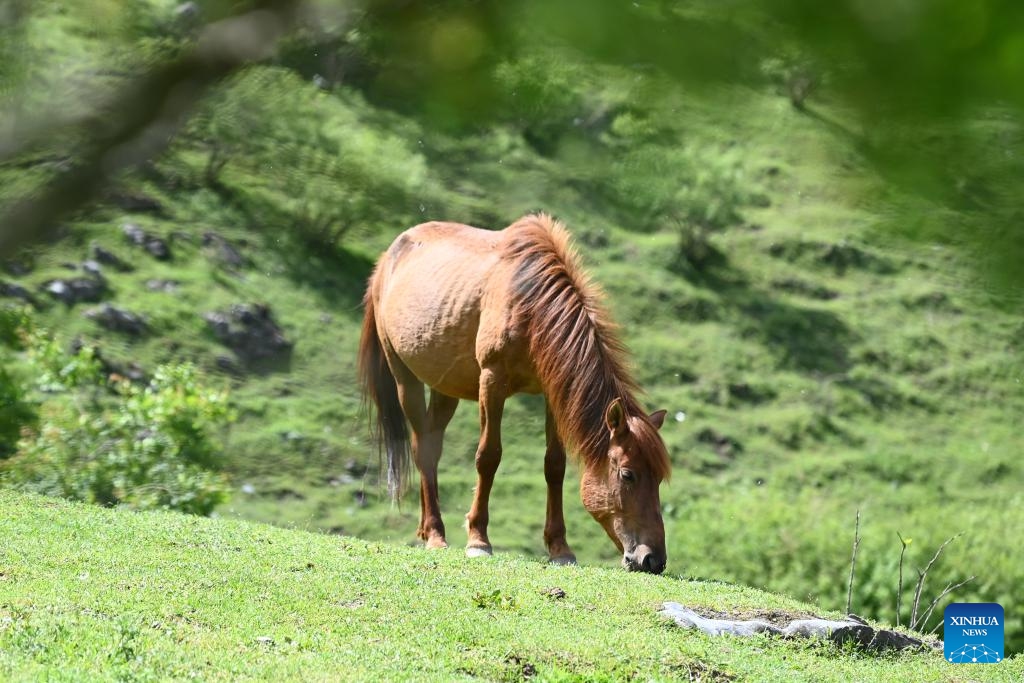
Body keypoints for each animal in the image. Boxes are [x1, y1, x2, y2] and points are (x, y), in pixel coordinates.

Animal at [358, 213, 671, 573]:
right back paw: (436, 535)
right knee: (422, 449)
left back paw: (427, 529)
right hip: (404, 377)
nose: (652, 559)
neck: (530, 304)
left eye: (659, 478)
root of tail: (387, 260)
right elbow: (488, 457)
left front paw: (559, 547)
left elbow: (555, 465)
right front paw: (478, 540)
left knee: (431, 447)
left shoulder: (553, 393)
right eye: (628, 475)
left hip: (444, 386)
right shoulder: (492, 381)